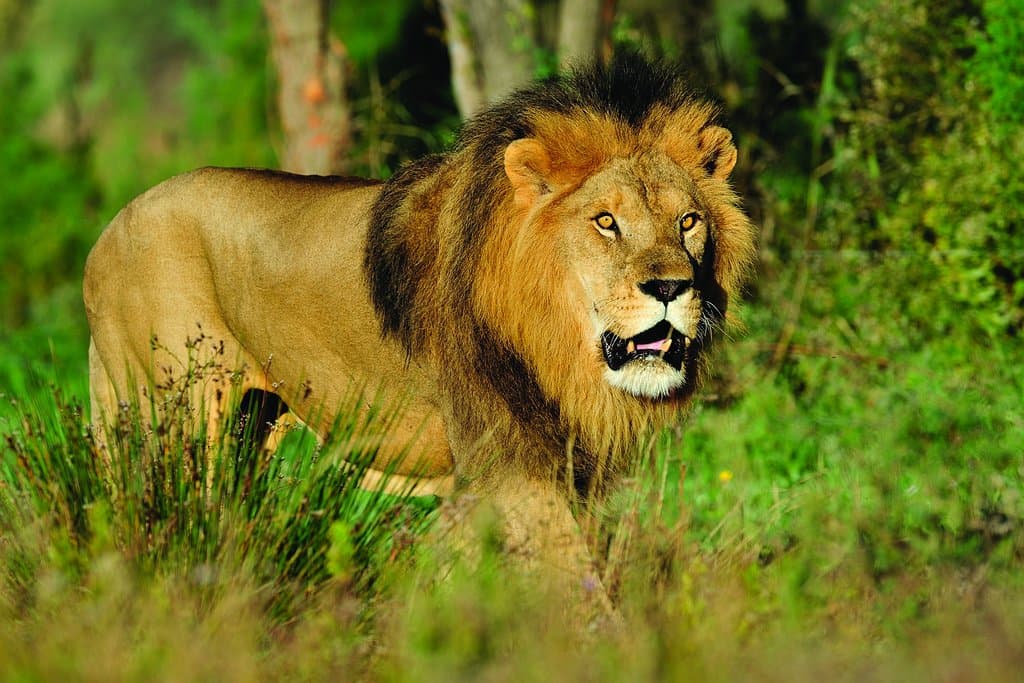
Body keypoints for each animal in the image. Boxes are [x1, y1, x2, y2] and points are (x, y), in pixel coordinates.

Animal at [84, 53, 755, 615]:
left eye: (687, 221)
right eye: (606, 221)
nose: (670, 288)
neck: (555, 343)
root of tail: (108, 231)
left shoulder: (554, 470)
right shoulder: (509, 460)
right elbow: (579, 588)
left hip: (249, 428)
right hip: (178, 418)